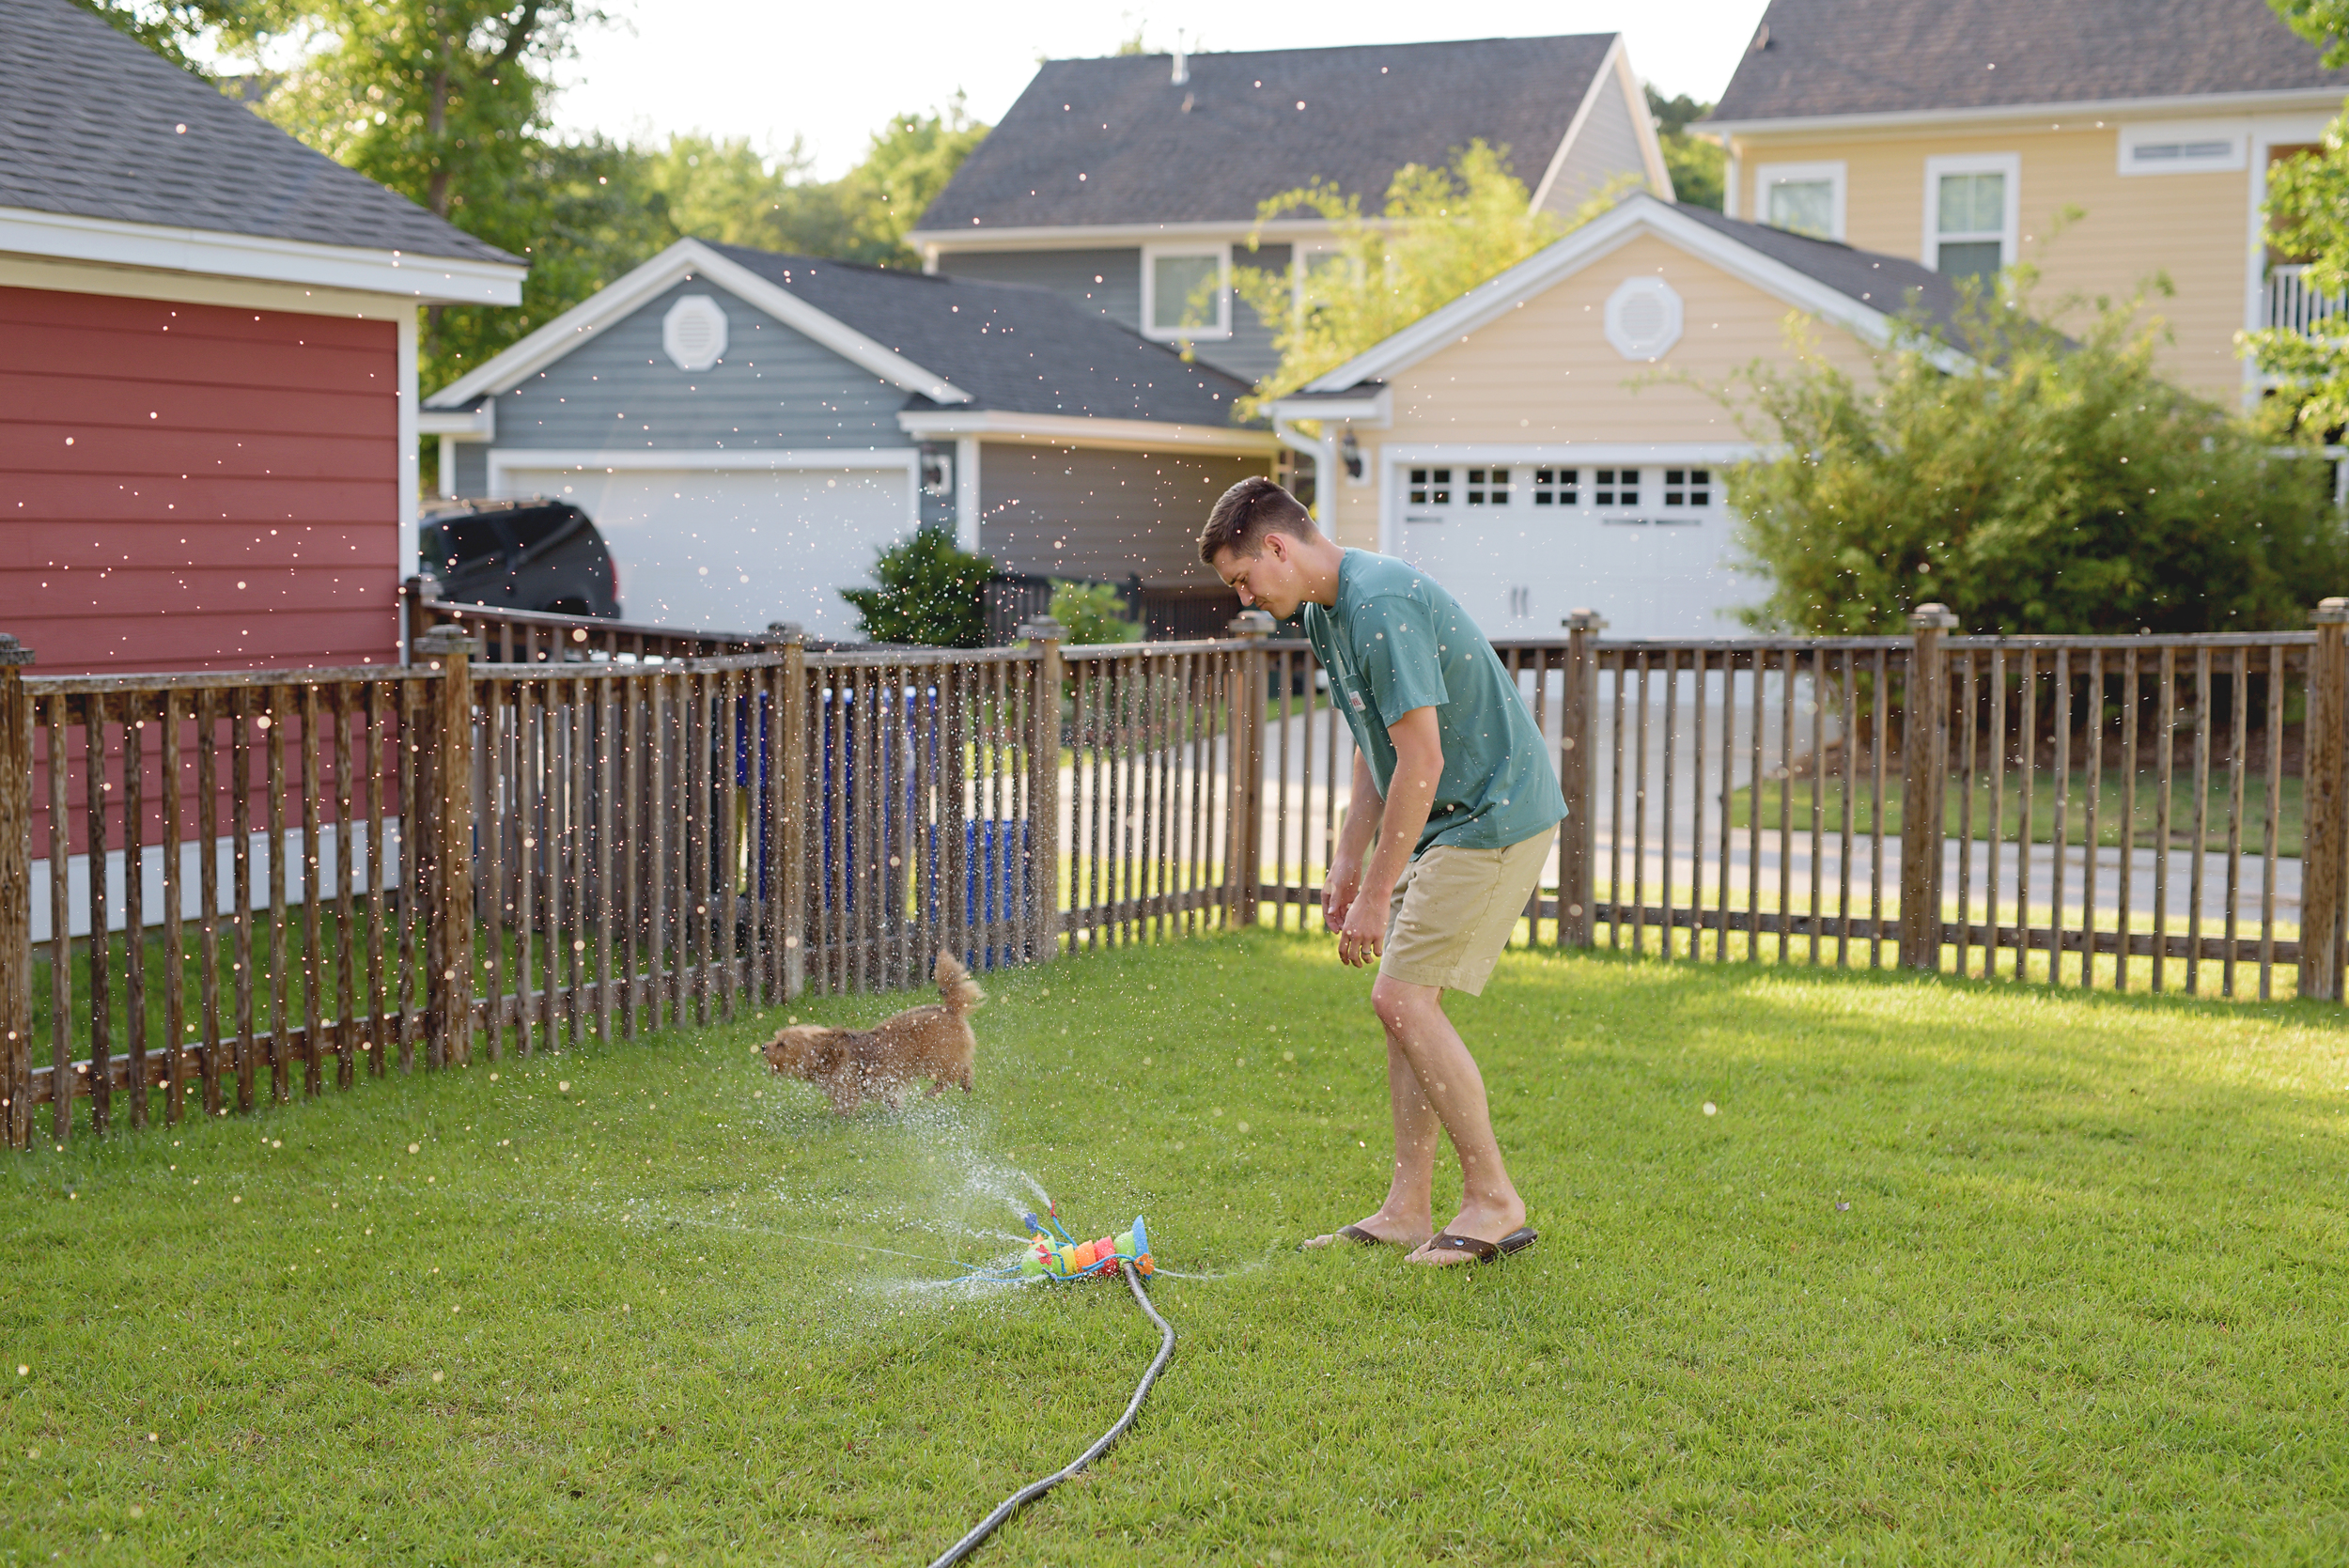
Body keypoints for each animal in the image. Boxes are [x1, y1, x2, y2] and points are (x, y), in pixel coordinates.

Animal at [761, 957, 982, 1112]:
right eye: (776, 1038)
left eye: (781, 1044)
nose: (763, 1046)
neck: (827, 1053)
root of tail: (949, 1009)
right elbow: (892, 1099)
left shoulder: (846, 1093)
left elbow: (844, 1109)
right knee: (965, 1067)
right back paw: (967, 1086)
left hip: (933, 1061)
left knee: (952, 1075)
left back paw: (933, 1092)